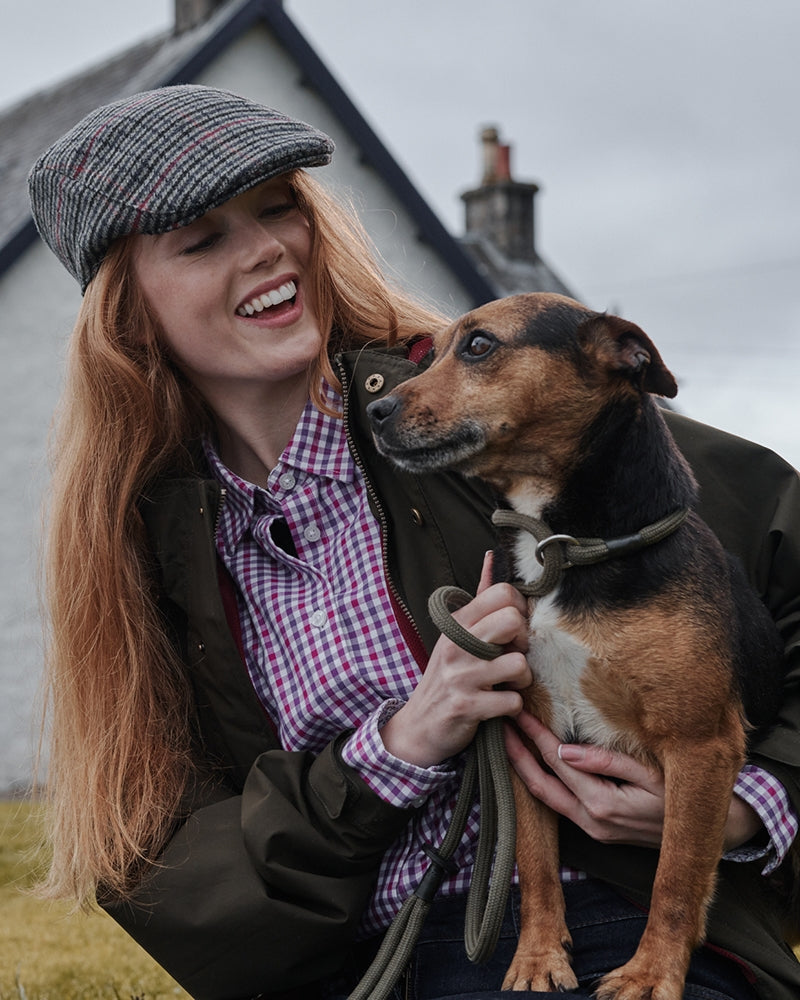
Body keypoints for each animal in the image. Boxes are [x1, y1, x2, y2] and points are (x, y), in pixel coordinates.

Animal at [368, 292, 788, 1000]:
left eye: (478, 346)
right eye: (433, 352)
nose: (375, 412)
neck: (561, 548)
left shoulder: (699, 746)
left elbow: (675, 878)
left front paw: (650, 974)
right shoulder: (521, 728)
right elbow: (535, 863)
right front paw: (537, 957)